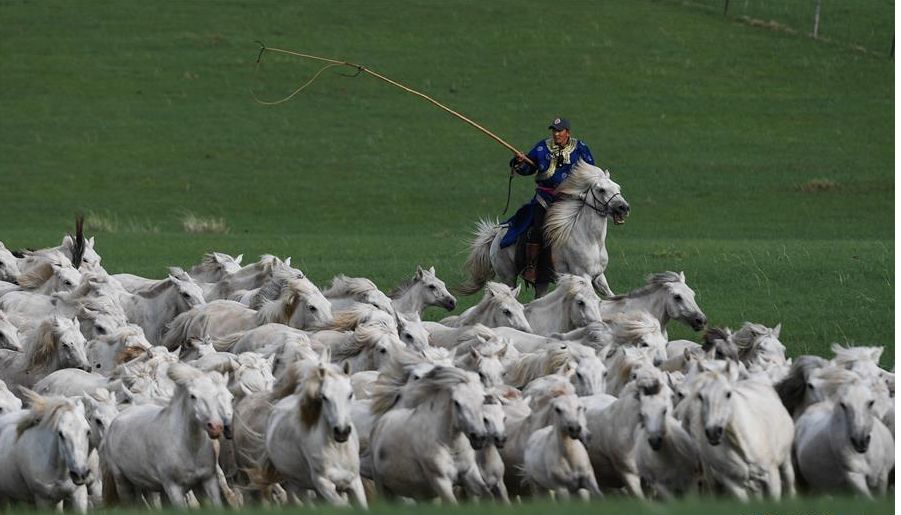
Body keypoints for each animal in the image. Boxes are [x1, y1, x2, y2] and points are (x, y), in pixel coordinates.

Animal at [100, 362, 234, 508]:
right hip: (122, 482)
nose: (216, 427)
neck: (189, 448)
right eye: (193, 396)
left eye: (216, 395)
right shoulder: (173, 488)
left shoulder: (208, 480)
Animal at [460, 161, 628, 298]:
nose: (623, 208)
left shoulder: (598, 277)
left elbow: (611, 297)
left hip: (541, 281)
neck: (590, 239)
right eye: (601, 190)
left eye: (617, 187)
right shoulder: (583, 275)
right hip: (508, 276)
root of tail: (496, 235)